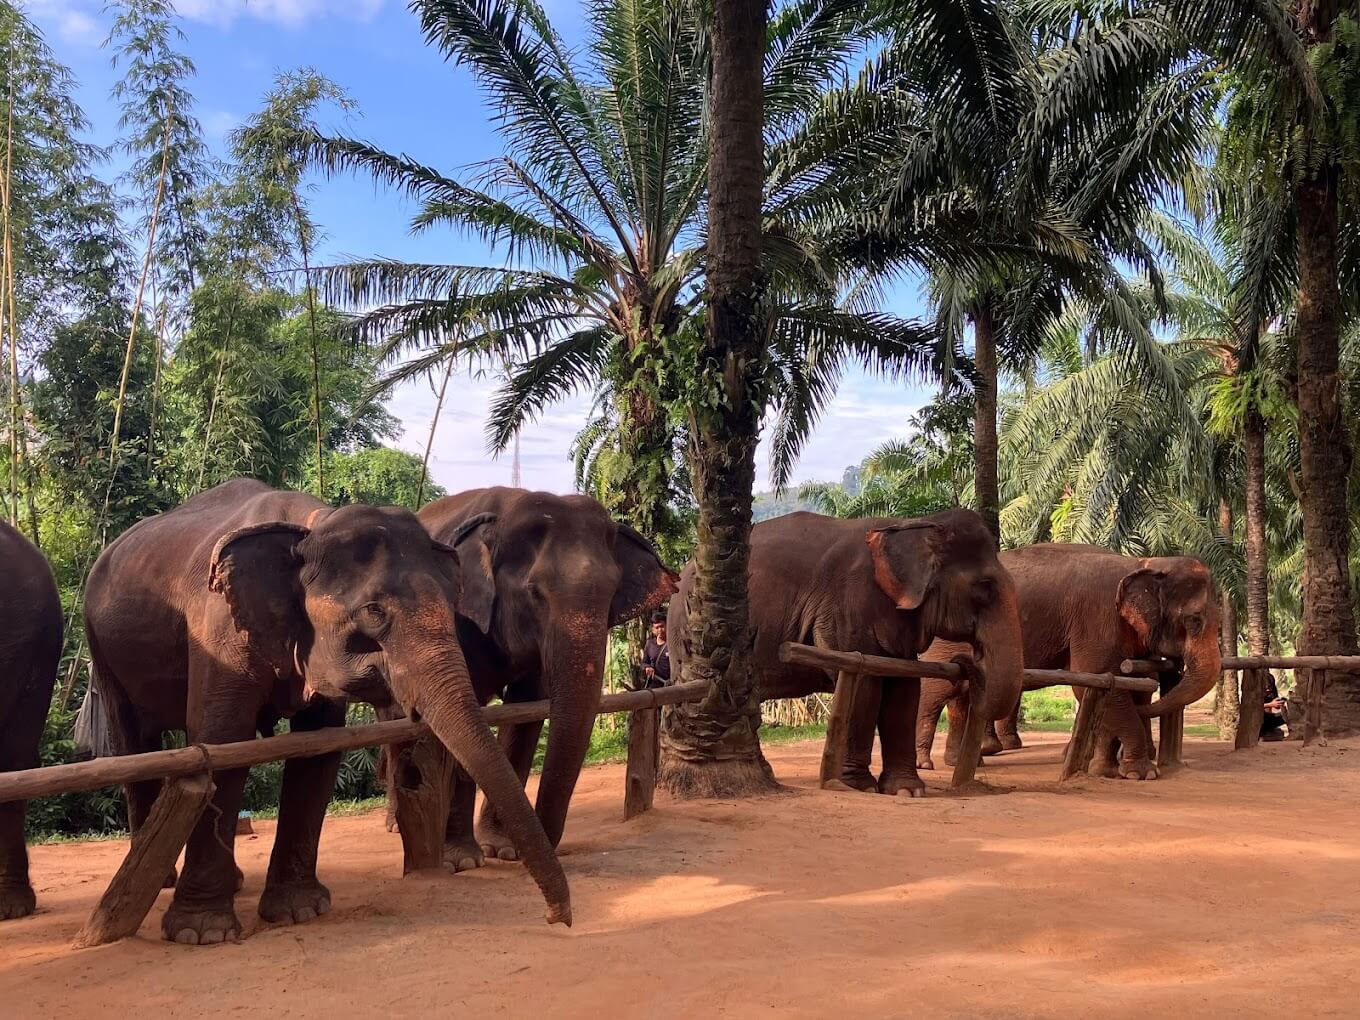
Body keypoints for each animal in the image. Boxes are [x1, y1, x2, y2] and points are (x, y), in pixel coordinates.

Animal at [82, 479, 570, 945]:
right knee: (134, 741)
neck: (309, 527)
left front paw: (300, 911)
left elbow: (317, 750)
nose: (557, 918)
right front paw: (202, 933)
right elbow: (222, 740)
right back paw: (161, 880)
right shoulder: (218, 629)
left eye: (454, 606)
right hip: (100, 647)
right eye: (373, 611)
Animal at [416, 487, 676, 868]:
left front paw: (503, 849)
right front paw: (463, 860)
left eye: (612, 593)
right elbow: (465, 709)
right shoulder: (457, 619)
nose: (544, 847)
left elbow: (525, 714)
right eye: (533, 592)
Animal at [668, 509, 1026, 797]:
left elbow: (904, 690)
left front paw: (908, 791)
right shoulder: (845, 607)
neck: (909, 525)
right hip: (687, 635)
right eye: (984, 586)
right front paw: (860, 787)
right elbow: (864, 688)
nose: (968, 661)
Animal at [915, 543, 1223, 780]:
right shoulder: (1098, 617)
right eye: (1194, 621)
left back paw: (962, 761)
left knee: (961, 695)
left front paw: (1105, 770)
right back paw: (925, 764)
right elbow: (1095, 680)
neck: (1144, 562)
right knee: (937, 692)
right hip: (945, 640)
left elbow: (1135, 686)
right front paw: (1142, 773)